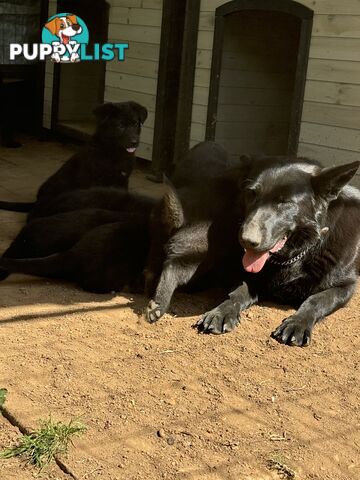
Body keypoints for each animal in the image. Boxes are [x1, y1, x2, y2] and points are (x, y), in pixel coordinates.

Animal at [0, 101, 148, 218]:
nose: (135, 142)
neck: (114, 151)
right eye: (120, 126)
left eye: (135, 124)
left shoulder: (123, 180)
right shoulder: (96, 182)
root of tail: (37, 201)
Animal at [145, 154, 358, 344]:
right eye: (252, 194)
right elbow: (237, 293)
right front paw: (222, 312)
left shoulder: (345, 286)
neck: (294, 257)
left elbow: (316, 300)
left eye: (285, 203)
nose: (246, 241)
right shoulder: (246, 274)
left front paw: (297, 323)